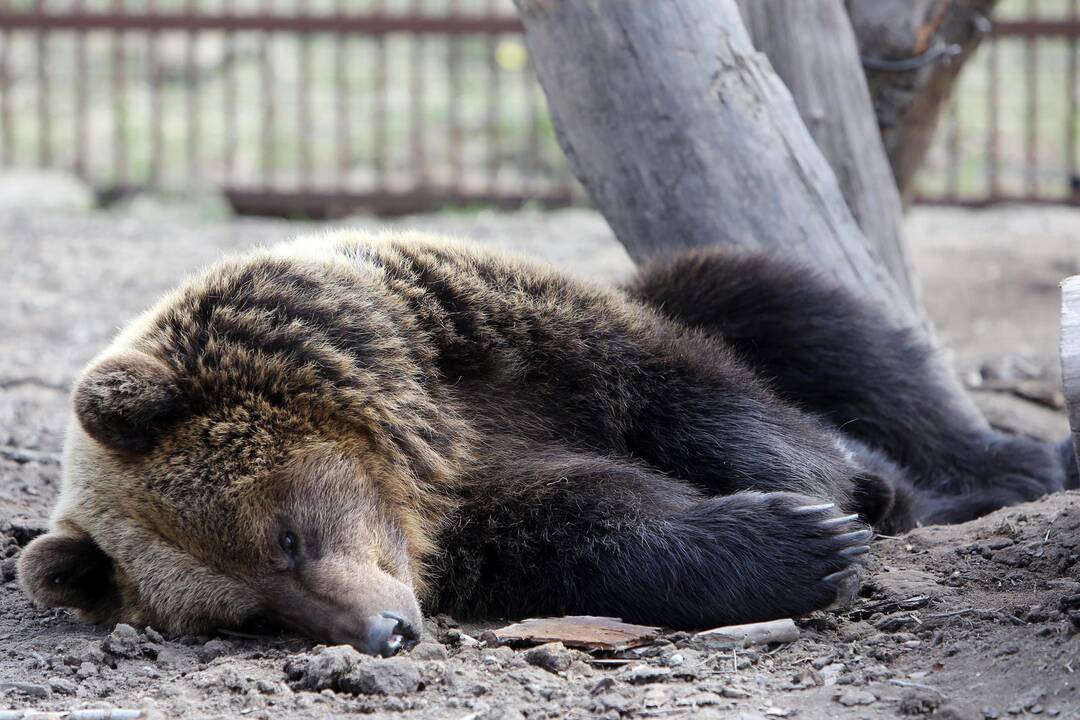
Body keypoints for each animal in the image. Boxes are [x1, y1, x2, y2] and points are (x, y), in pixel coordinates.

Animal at [19, 232, 1071, 660]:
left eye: (286, 537)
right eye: (249, 617)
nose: (385, 630)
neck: (422, 449)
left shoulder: (481, 336)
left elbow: (689, 393)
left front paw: (839, 500)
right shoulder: (484, 516)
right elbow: (592, 524)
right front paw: (794, 543)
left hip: (706, 293)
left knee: (811, 320)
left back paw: (1009, 466)